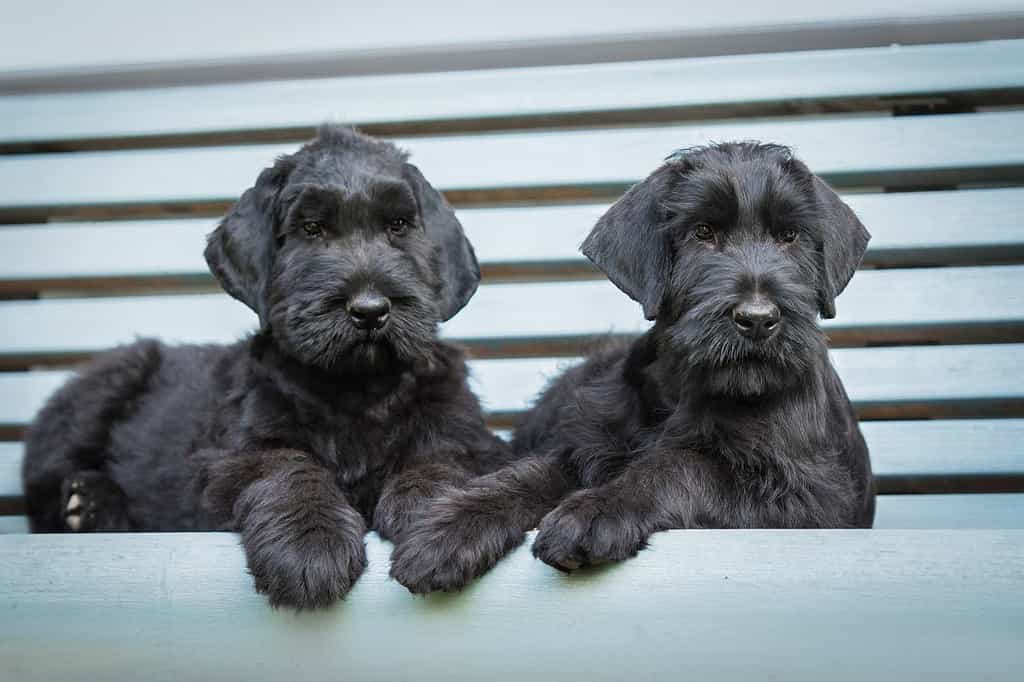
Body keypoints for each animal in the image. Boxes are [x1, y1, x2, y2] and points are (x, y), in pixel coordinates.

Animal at [25, 124, 512, 606]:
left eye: (398, 226)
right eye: (311, 228)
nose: (370, 310)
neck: (356, 388)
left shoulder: (465, 435)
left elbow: (440, 457)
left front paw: (433, 515)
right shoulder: (238, 452)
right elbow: (286, 469)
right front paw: (310, 545)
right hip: (102, 390)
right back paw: (87, 504)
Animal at [389, 139, 872, 589]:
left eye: (790, 236)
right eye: (702, 232)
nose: (757, 319)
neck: (689, 387)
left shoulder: (804, 499)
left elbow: (680, 465)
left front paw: (593, 511)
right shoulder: (586, 447)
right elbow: (533, 472)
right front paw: (449, 527)